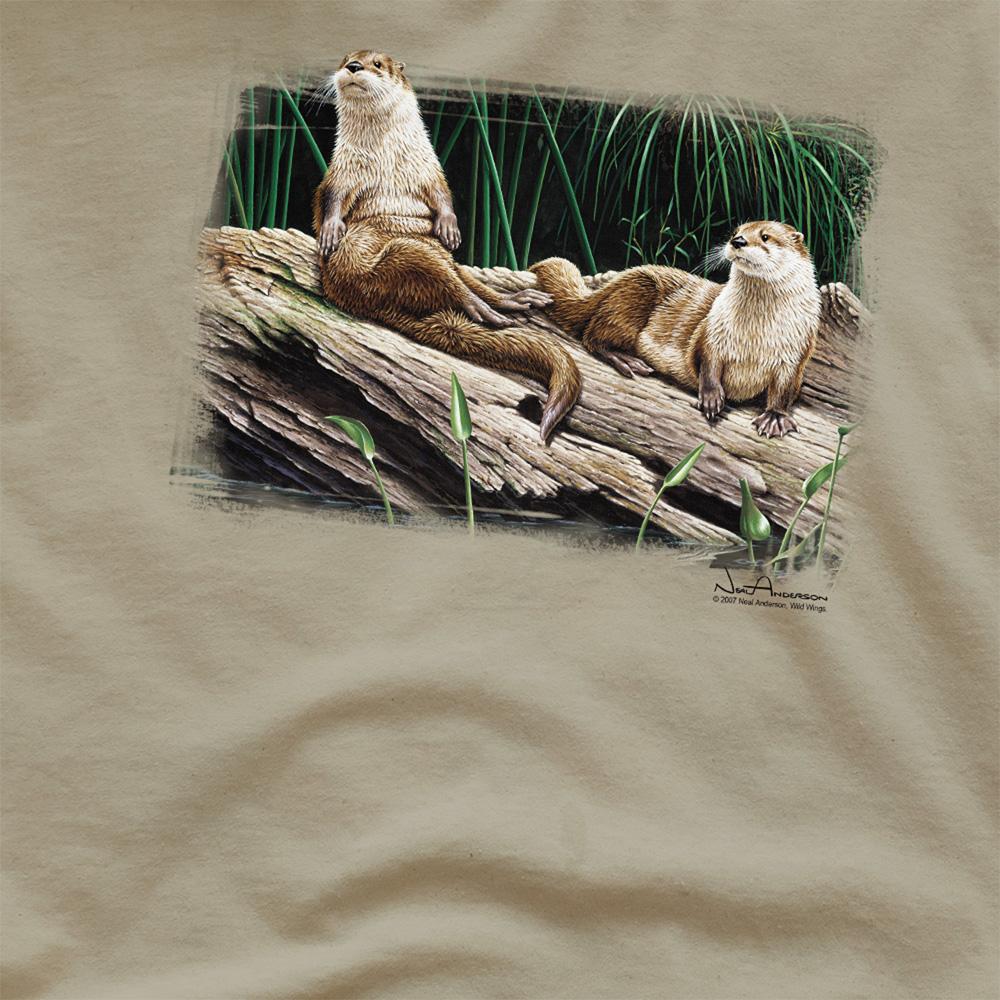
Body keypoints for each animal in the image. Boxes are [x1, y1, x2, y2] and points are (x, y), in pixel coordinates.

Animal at [312, 50, 581, 442]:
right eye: (345, 58)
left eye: (377, 64)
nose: (353, 67)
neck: (388, 155)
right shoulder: (343, 170)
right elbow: (329, 198)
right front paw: (331, 231)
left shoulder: (430, 167)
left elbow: (442, 194)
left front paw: (450, 226)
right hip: (397, 260)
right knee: (451, 286)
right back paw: (488, 312)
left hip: (437, 254)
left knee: (467, 281)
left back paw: (514, 301)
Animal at [531, 222, 821, 438]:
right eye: (736, 232)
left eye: (765, 236)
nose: (738, 241)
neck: (755, 337)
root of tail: (614, 283)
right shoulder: (712, 333)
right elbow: (707, 362)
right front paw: (712, 397)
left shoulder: (796, 353)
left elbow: (785, 390)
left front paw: (775, 417)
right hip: (635, 293)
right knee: (593, 337)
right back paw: (627, 360)